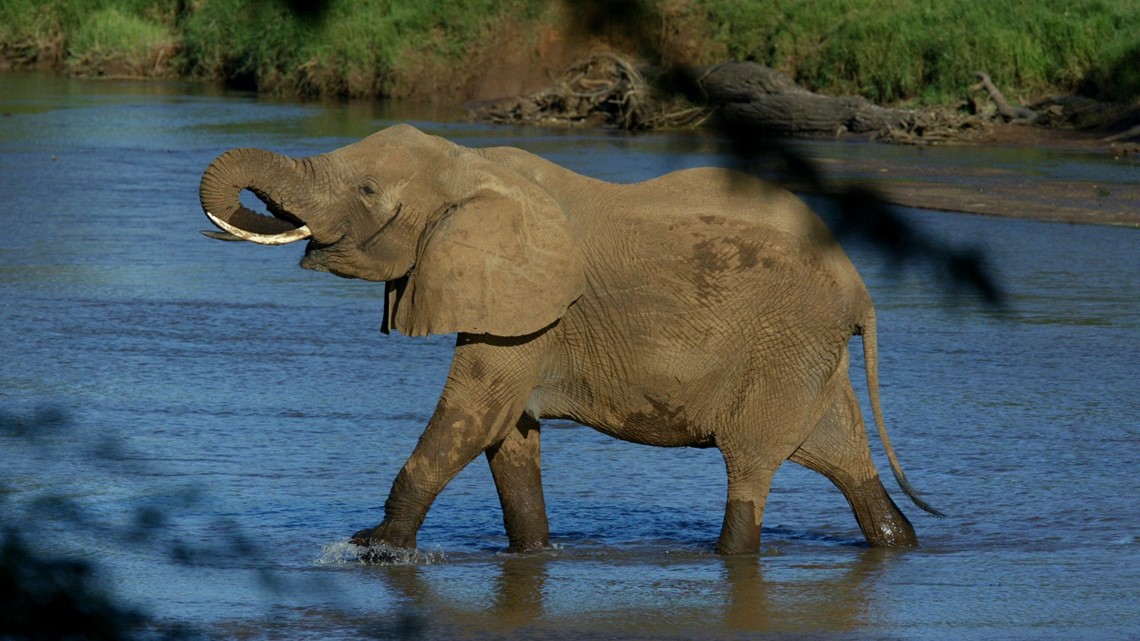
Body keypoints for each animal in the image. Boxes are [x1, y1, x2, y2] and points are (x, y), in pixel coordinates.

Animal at [198, 123, 943, 554]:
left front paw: (373, 548)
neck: (472, 164)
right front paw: (533, 556)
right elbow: (507, 434)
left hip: (783, 347)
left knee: (751, 468)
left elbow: (473, 413)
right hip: (808, 358)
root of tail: (860, 290)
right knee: (845, 458)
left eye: (367, 190)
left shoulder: (531, 307)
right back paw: (898, 540)